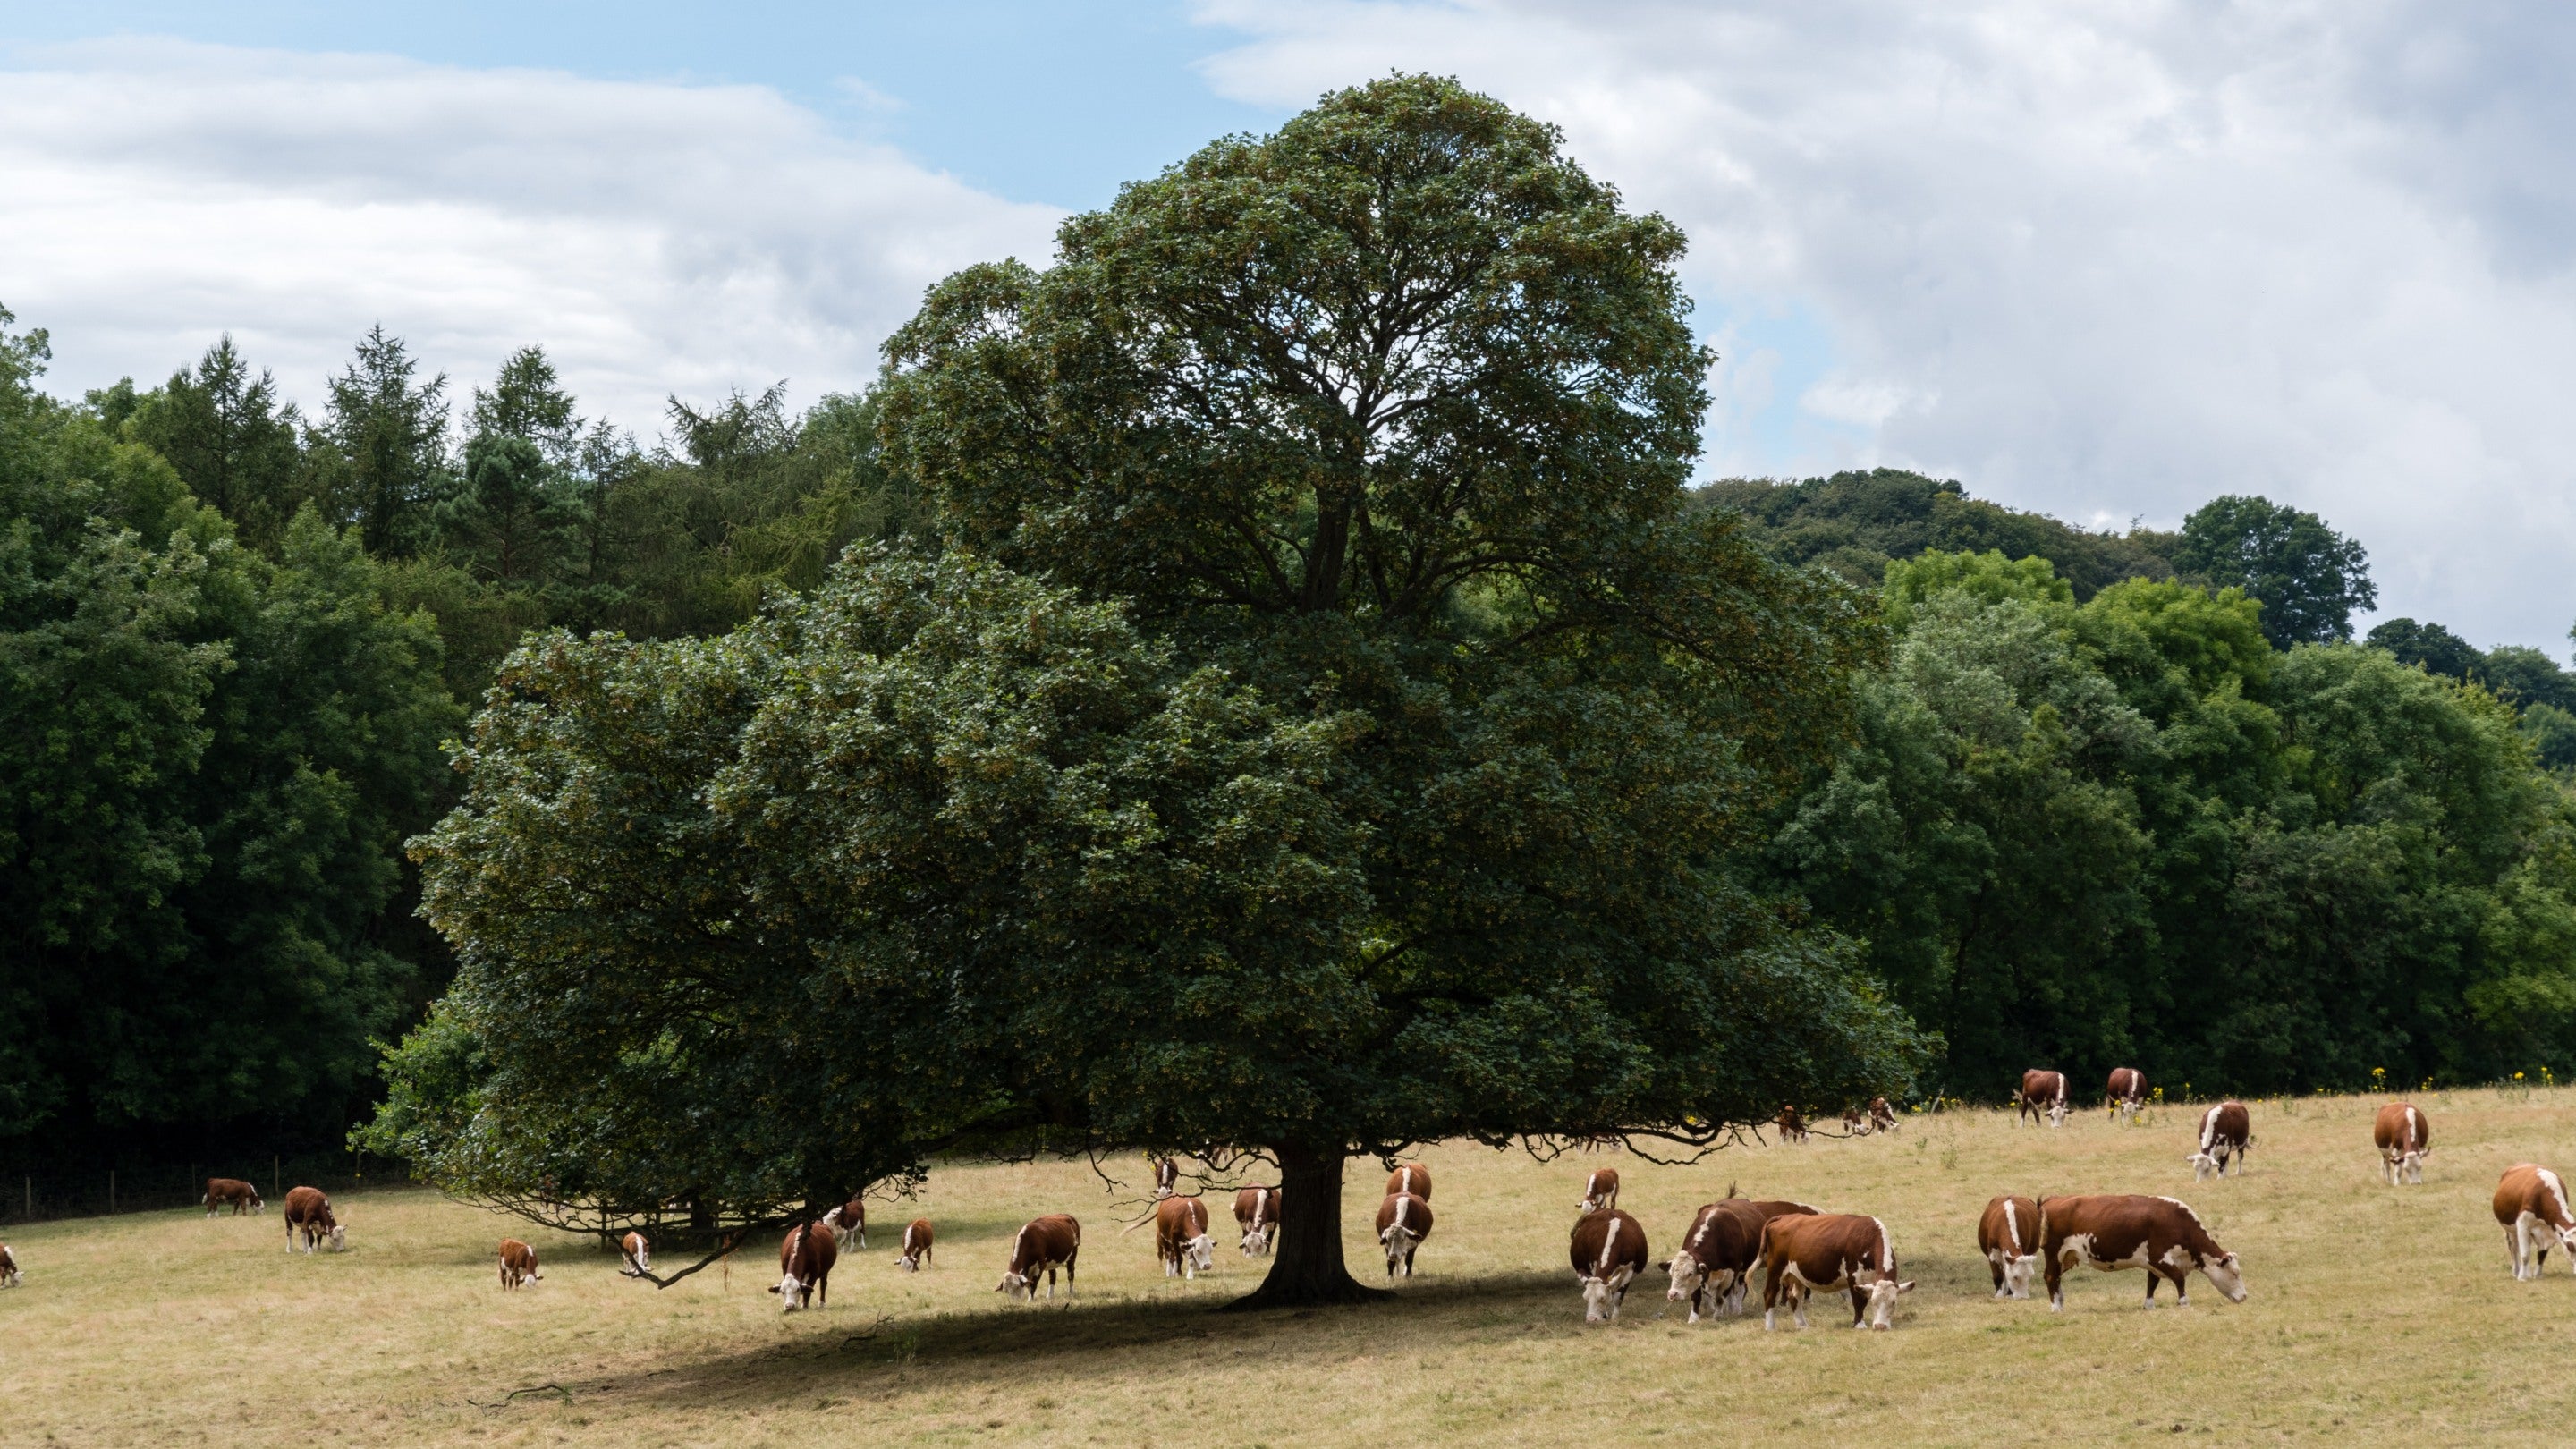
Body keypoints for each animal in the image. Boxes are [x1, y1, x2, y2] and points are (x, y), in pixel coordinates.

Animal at [1570, 1207, 1649, 1322]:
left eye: (1602, 1298)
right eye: (1585, 1297)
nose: (1591, 1319)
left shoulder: (1629, 1271)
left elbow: (1617, 1297)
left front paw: (1615, 1318)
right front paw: (1604, 1315)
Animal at [1664, 1200, 1764, 1322]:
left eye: (1690, 1273)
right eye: (1671, 1273)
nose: (1672, 1294)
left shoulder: (1730, 1273)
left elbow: (1720, 1298)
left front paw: (1717, 1315)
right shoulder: (1701, 1276)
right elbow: (1696, 1297)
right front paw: (1693, 1318)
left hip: (1744, 1271)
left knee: (1741, 1289)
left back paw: (1737, 1310)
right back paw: (1730, 1309)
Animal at [1759, 1212, 1913, 1330]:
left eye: (1894, 1302)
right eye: (1874, 1301)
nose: (1880, 1326)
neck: (1868, 1237)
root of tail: (1783, 1217)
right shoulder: (1854, 1275)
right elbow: (1859, 1301)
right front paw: (1859, 1324)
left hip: (1796, 1275)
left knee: (1794, 1296)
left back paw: (1802, 1325)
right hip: (1776, 1269)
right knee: (1769, 1294)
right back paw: (1771, 1327)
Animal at [2038, 1194, 2246, 1310]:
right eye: (2235, 1273)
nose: (2244, 1296)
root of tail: (2053, 1199)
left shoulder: (2152, 1263)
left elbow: (2151, 1283)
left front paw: (2149, 1306)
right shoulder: (2159, 1257)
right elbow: (2179, 1278)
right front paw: (2184, 1302)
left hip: (2067, 1256)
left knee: (2057, 1279)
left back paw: (2061, 1301)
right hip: (2054, 1253)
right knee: (2050, 1277)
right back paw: (2056, 1307)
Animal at [2493, 1165, 2576, 1280]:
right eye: (2571, 1247)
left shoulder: (2548, 1229)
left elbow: (2542, 1253)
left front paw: (2537, 1275)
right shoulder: (2522, 1223)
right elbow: (2525, 1254)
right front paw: (2522, 1277)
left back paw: (2527, 1273)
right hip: (2511, 1229)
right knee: (2514, 1248)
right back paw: (2516, 1271)